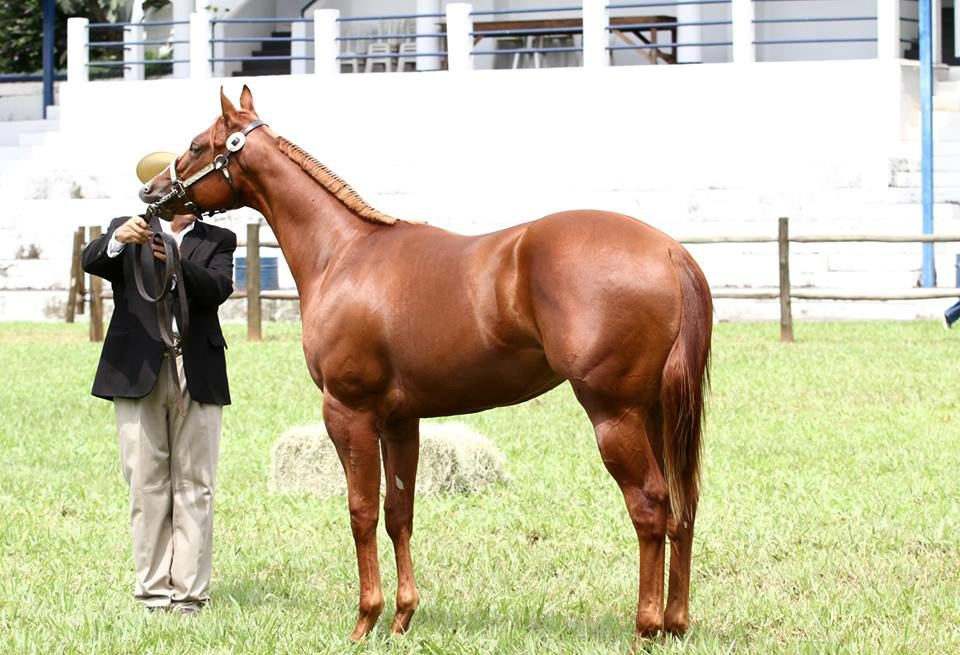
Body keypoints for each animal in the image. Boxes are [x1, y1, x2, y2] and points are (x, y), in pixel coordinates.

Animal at [142, 84, 712, 644]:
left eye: (197, 145)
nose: (151, 192)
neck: (344, 254)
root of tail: (669, 251)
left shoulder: (348, 412)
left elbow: (361, 512)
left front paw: (365, 620)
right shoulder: (401, 420)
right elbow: (399, 514)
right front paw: (401, 618)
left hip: (614, 415)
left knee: (650, 506)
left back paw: (646, 628)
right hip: (657, 414)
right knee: (682, 506)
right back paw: (676, 623)